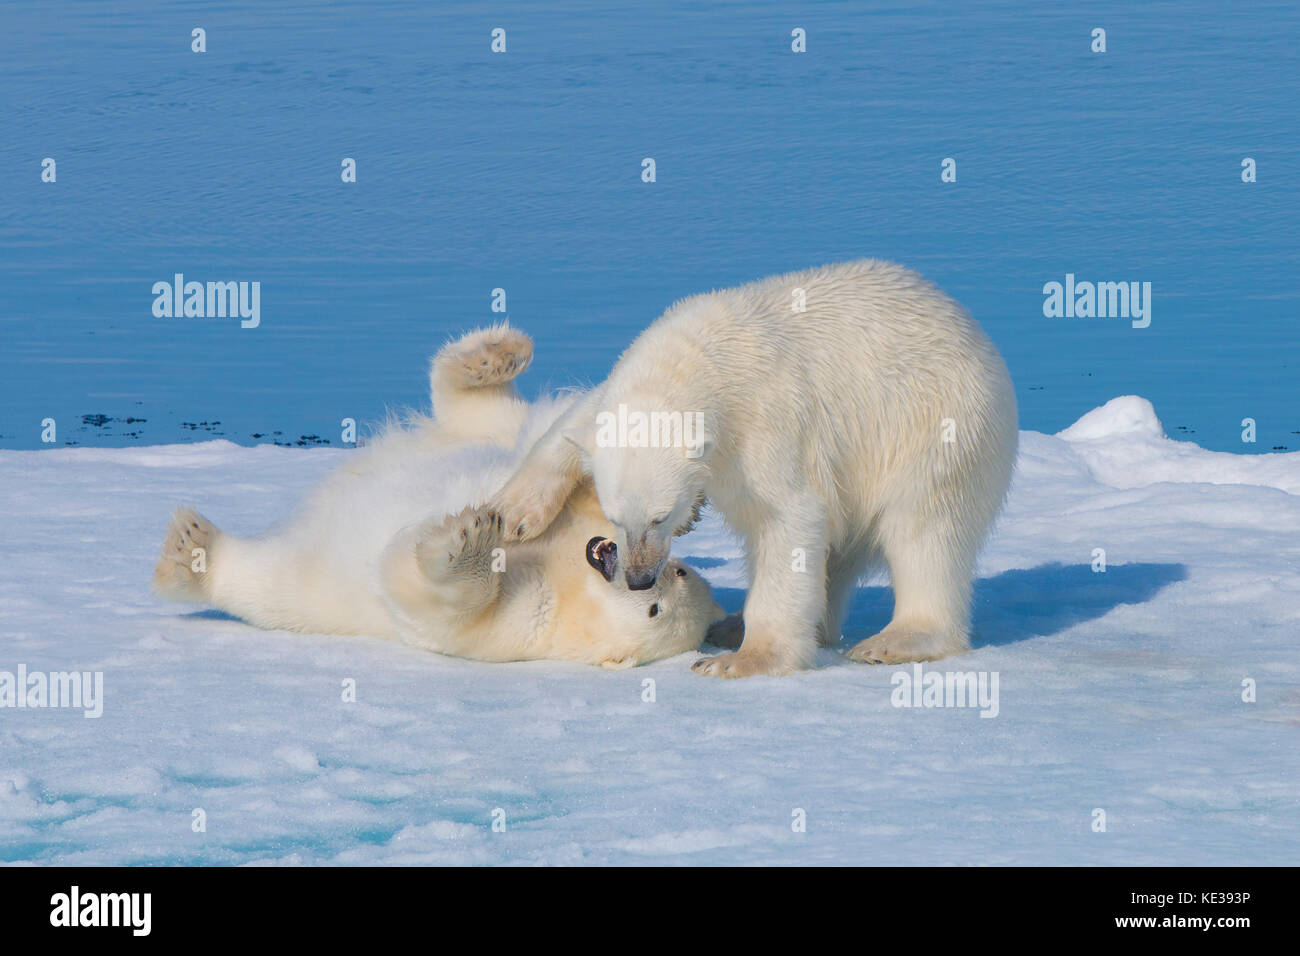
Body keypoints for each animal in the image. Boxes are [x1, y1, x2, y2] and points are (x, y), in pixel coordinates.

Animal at [152, 325, 728, 671]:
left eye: (655, 609)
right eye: (678, 571)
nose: (632, 574)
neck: (570, 572)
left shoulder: (521, 625)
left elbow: (435, 599)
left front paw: (470, 536)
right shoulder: (582, 511)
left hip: (308, 587)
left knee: (264, 581)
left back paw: (190, 550)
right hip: (495, 436)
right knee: (486, 410)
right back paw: (498, 352)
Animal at [491, 261, 1019, 676]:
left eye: (661, 516)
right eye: (615, 516)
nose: (639, 578)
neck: (706, 359)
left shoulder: (769, 423)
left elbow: (789, 517)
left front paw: (741, 661)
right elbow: (576, 422)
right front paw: (511, 515)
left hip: (936, 429)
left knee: (924, 533)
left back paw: (894, 639)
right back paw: (737, 624)